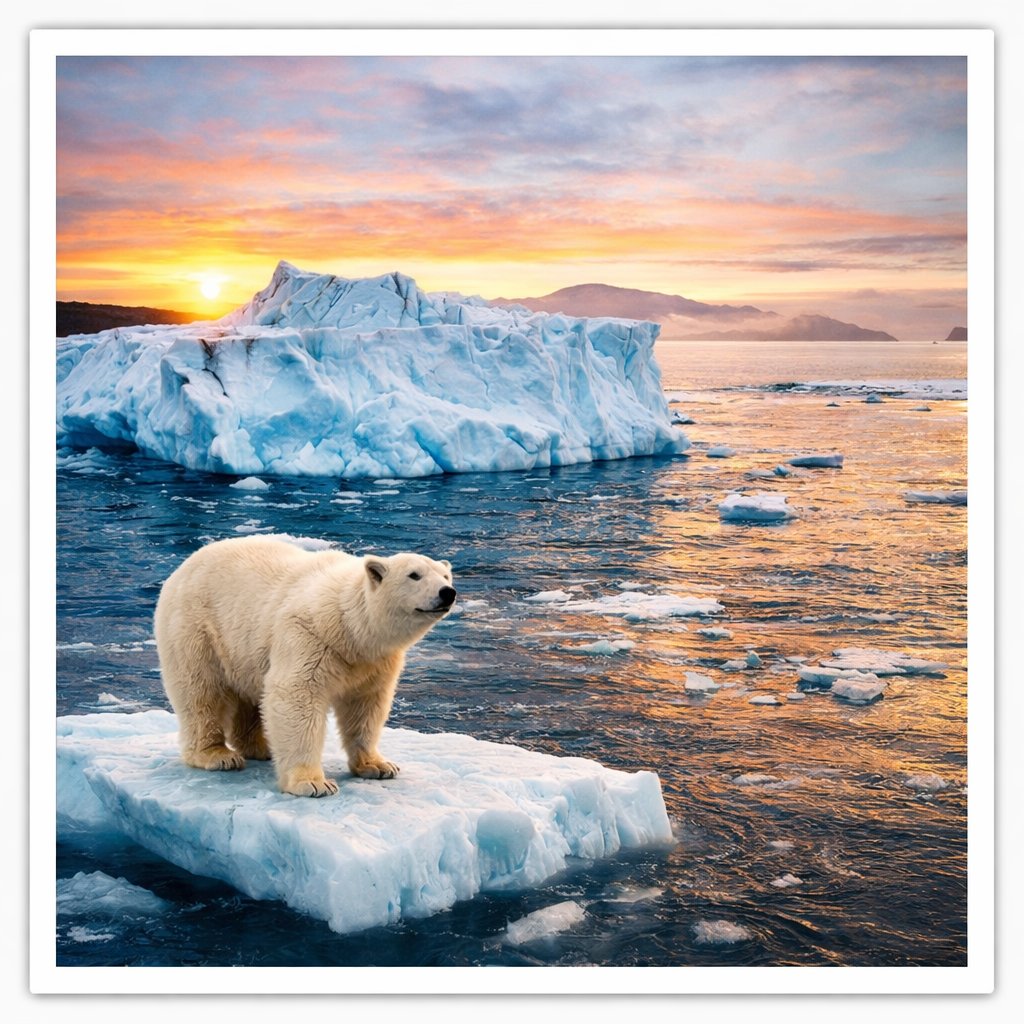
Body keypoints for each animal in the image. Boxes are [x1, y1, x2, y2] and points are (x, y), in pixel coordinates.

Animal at [153, 535, 456, 797]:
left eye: (445, 575)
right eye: (414, 575)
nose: (448, 592)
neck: (352, 627)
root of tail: (182, 567)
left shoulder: (374, 661)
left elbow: (366, 705)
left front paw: (379, 766)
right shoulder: (310, 635)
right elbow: (297, 696)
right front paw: (313, 783)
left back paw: (261, 747)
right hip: (196, 628)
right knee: (201, 691)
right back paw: (217, 755)